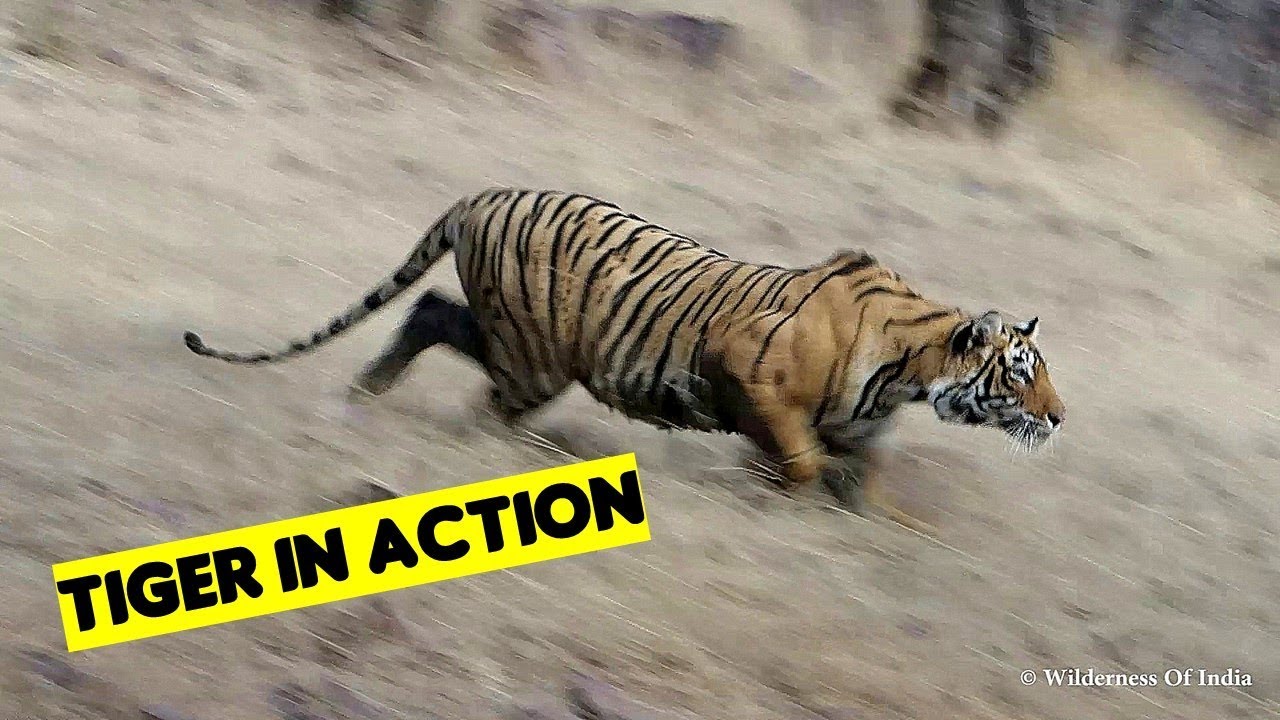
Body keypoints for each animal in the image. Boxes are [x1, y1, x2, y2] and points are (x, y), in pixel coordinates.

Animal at [183, 187, 1065, 527]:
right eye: (1022, 372)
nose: (1060, 418)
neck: (911, 374)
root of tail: (481, 197)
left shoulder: (859, 434)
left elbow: (861, 491)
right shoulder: (750, 370)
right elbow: (799, 459)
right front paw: (771, 497)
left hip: (520, 341)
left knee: (431, 312)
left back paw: (367, 393)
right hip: (537, 355)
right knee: (486, 400)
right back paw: (509, 453)